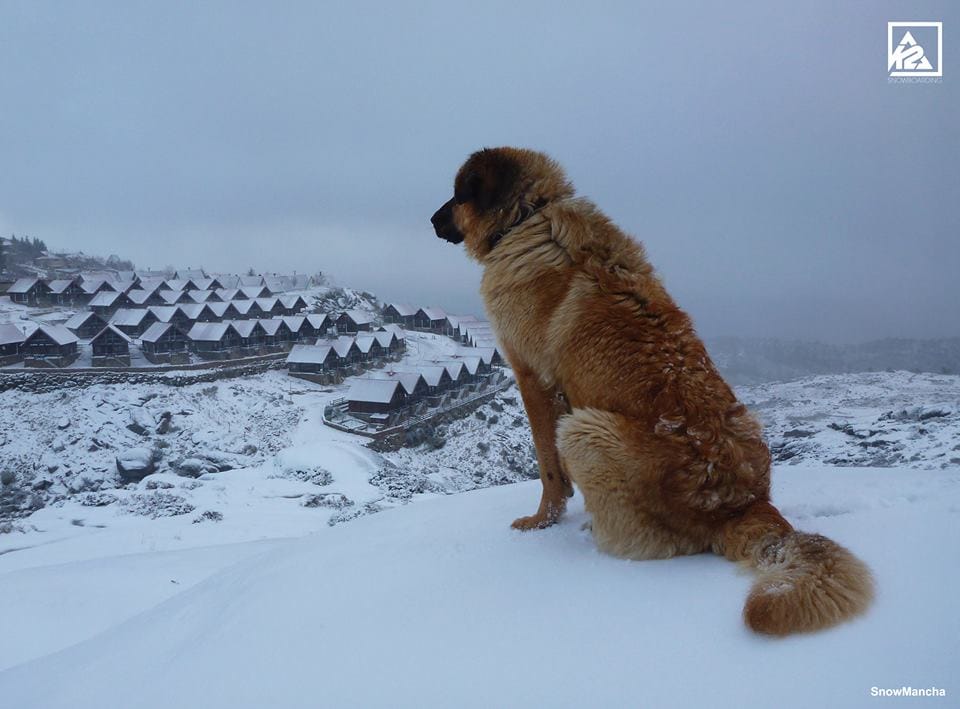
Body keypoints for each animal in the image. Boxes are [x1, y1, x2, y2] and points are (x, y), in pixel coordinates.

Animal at [432, 147, 872, 632]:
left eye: (457, 195)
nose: (431, 220)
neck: (529, 215)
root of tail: (745, 505)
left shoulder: (533, 378)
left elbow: (548, 468)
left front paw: (541, 521)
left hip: (584, 430)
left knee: (652, 543)